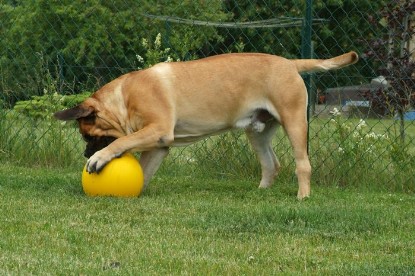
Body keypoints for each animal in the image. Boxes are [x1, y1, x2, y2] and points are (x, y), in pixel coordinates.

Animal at [55, 51, 360, 198]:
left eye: (87, 136)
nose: (85, 153)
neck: (124, 97)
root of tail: (290, 63)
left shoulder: (157, 130)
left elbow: (122, 140)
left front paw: (99, 157)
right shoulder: (159, 144)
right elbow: (144, 170)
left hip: (294, 121)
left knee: (302, 164)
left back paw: (303, 197)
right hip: (258, 132)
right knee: (271, 164)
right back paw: (260, 193)